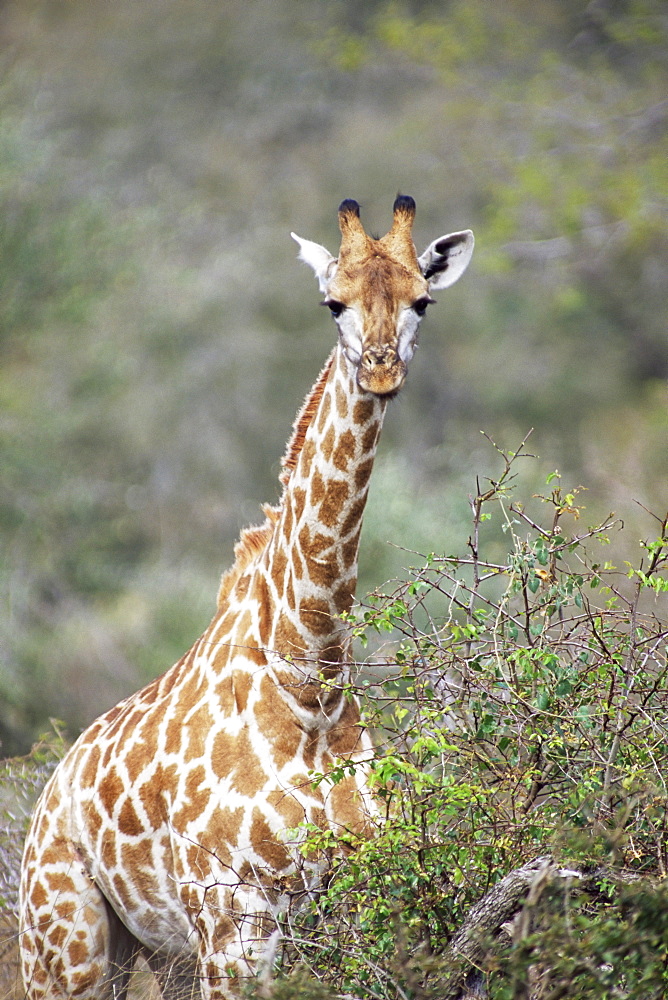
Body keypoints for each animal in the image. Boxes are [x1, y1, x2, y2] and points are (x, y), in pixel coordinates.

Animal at [18, 193, 472, 992]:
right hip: (67, 945)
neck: (311, 680)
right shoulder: (232, 911)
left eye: (423, 300)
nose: (382, 371)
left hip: (150, 950)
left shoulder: (357, 892)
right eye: (332, 302)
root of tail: (46, 796)